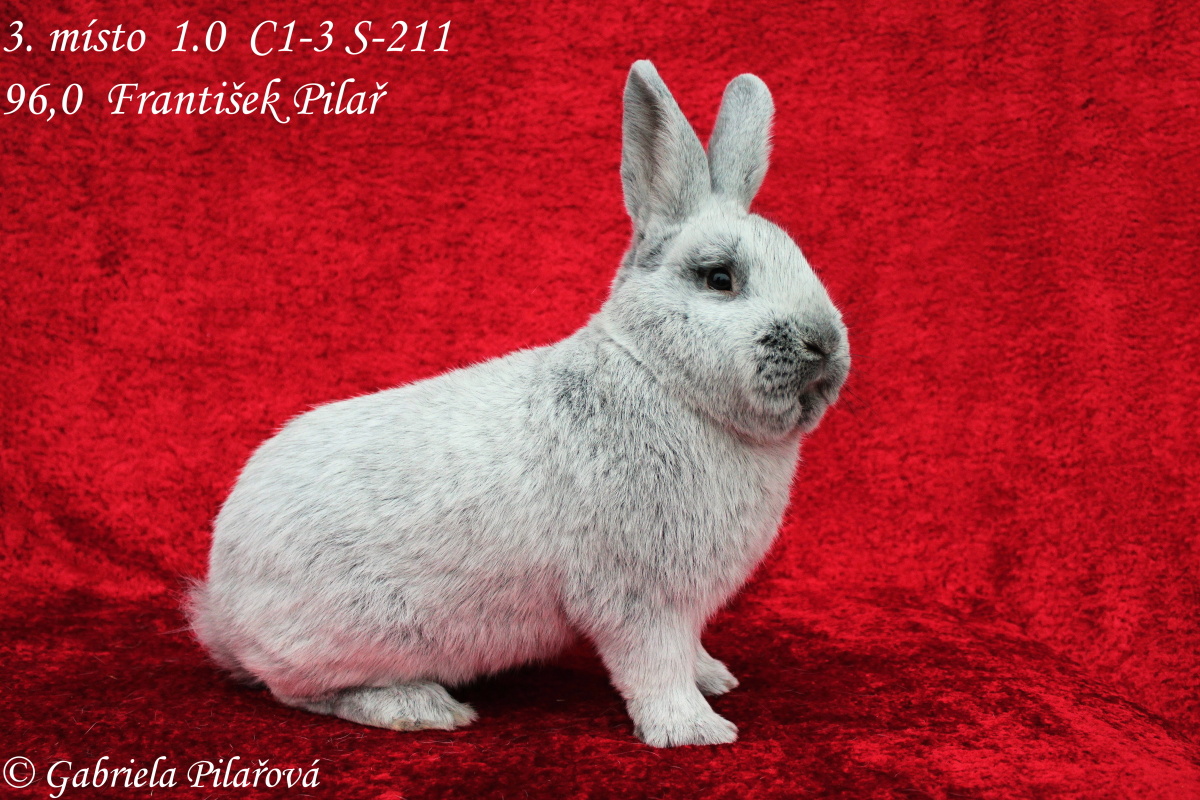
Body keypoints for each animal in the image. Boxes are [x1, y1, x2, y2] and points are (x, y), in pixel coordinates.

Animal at [188, 60, 849, 748]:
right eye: (720, 278)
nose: (824, 344)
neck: (665, 380)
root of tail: (224, 608)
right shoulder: (639, 598)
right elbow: (654, 667)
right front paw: (695, 730)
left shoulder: (685, 606)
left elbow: (688, 651)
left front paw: (716, 679)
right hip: (352, 633)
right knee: (301, 691)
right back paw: (420, 706)